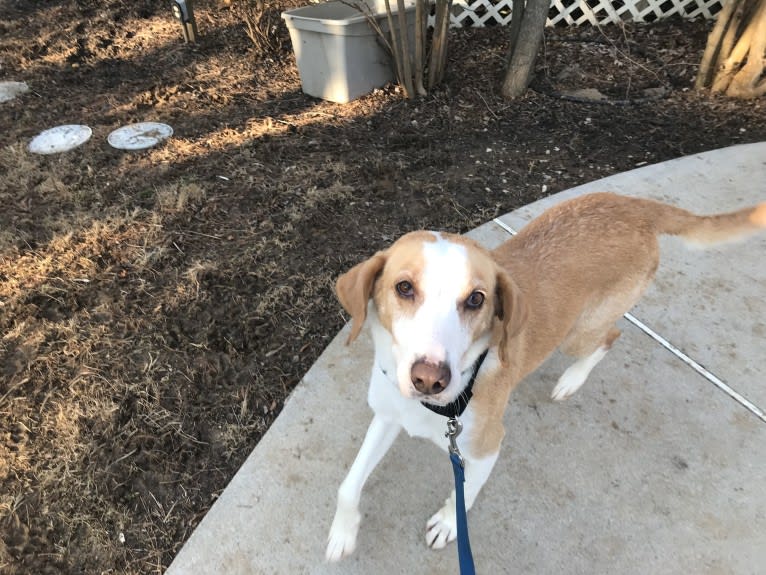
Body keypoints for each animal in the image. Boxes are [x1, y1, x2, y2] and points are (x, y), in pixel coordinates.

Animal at [326, 192, 766, 564]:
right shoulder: (388, 416)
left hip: (577, 334)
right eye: (403, 287)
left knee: (610, 336)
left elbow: (462, 495)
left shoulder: (486, 450)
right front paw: (342, 533)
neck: (434, 407)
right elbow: (347, 485)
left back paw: (572, 379)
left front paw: (450, 524)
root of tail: (634, 205)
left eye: (476, 299)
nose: (430, 379)